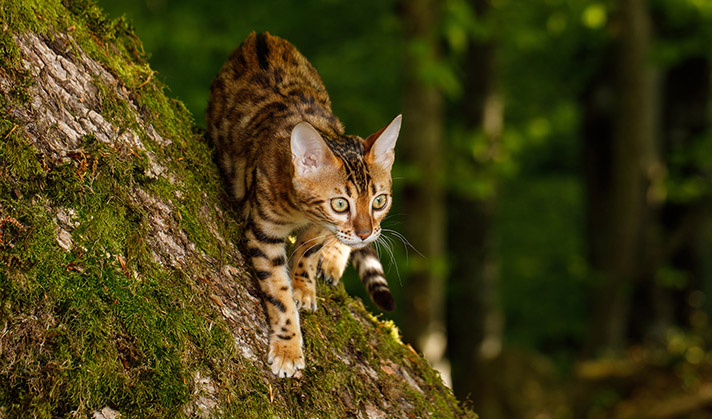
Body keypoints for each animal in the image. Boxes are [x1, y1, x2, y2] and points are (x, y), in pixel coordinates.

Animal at [206, 32, 404, 378]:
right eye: (340, 204)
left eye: (379, 201)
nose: (366, 232)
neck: (301, 211)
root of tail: (259, 35)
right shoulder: (263, 232)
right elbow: (277, 293)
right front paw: (288, 346)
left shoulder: (322, 227)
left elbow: (308, 253)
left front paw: (304, 285)